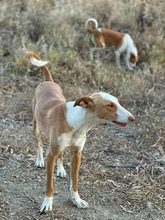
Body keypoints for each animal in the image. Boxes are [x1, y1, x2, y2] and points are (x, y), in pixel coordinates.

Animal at [26, 50, 135, 212]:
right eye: (110, 105)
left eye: (118, 102)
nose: (132, 118)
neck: (79, 123)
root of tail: (48, 81)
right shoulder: (51, 155)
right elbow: (49, 185)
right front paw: (47, 202)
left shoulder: (77, 153)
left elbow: (75, 181)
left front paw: (76, 200)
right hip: (36, 127)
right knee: (39, 142)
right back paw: (39, 160)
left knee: (61, 153)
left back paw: (61, 170)